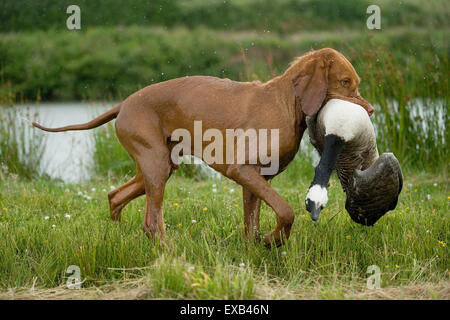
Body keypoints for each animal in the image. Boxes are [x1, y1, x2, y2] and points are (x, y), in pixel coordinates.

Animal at [34, 47, 372, 248]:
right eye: (345, 82)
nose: (370, 110)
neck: (286, 102)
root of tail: (124, 104)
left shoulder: (257, 179)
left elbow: (253, 222)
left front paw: (257, 247)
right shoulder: (242, 170)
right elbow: (286, 210)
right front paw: (274, 240)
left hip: (158, 166)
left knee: (115, 195)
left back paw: (117, 235)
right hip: (157, 166)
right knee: (150, 222)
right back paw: (169, 252)